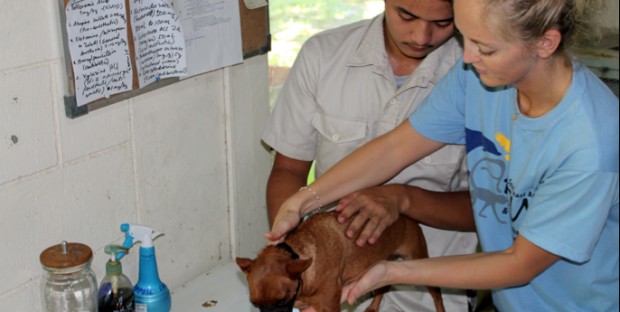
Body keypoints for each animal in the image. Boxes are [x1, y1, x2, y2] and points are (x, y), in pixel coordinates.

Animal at [235, 212, 444, 312]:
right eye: (254, 304)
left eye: (281, 300)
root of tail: (408, 219)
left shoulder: (329, 307)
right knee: (383, 288)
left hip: (418, 261)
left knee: (436, 293)